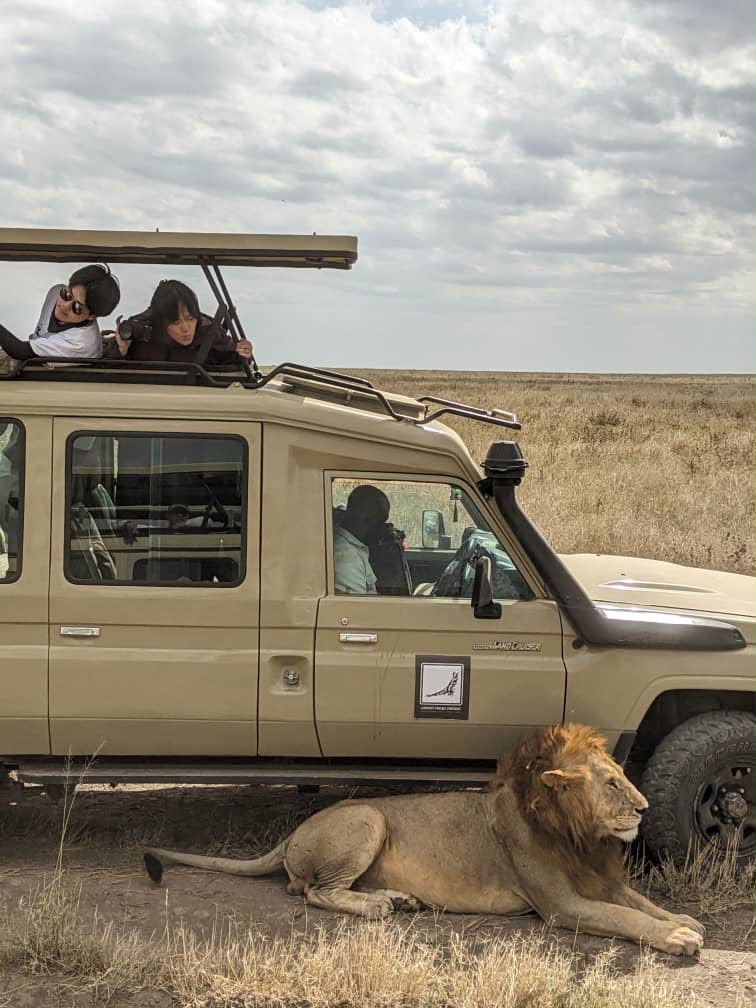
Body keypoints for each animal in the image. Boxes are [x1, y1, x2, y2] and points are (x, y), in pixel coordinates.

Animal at [144, 724, 704, 956]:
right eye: (611, 783)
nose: (645, 808)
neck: (580, 835)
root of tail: (290, 836)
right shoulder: (562, 904)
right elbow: (626, 917)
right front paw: (678, 938)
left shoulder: (600, 880)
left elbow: (640, 902)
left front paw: (684, 919)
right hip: (368, 817)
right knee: (312, 891)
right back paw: (378, 908)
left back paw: (399, 899)